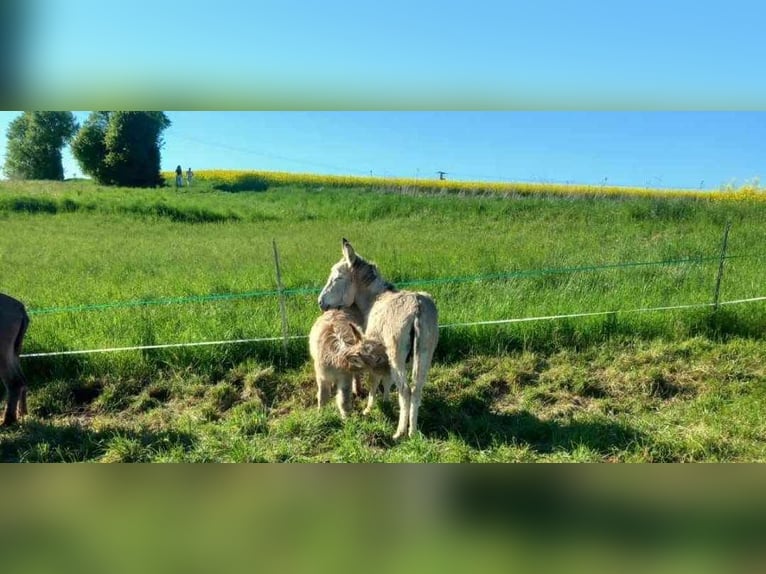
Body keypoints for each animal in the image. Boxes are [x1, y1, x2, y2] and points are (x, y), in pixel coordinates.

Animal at [318, 239, 438, 439]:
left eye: (338, 278)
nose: (320, 303)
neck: (375, 298)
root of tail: (417, 308)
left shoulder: (374, 352)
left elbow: (374, 380)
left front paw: (369, 408)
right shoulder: (388, 358)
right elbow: (387, 380)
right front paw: (386, 401)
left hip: (397, 355)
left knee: (405, 390)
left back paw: (400, 432)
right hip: (425, 352)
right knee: (416, 389)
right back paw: (413, 431)